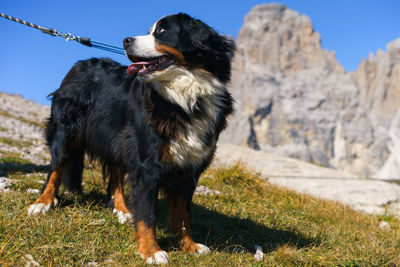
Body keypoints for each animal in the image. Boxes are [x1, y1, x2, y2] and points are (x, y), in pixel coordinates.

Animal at [27, 13, 234, 266]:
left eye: (162, 31)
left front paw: (190, 246)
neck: (185, 99)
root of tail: (80, 64)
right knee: (56, 168)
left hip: (118, 140)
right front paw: (151, 251)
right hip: (66, 129)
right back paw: (42, 203)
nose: (126, 40)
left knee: (115, 173)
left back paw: (122, 209)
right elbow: (147, 213)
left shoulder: (189, 168)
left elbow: (183, 215)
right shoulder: (148, 164)